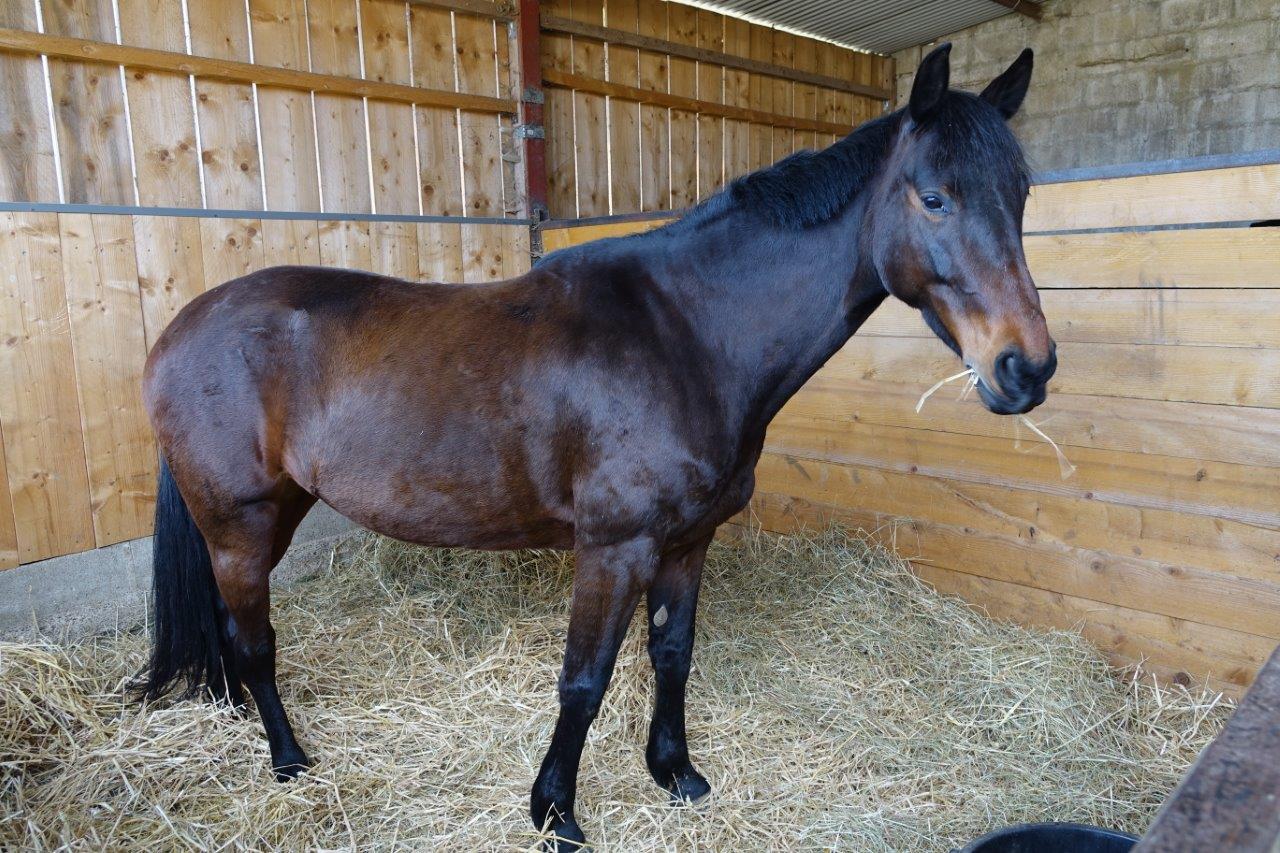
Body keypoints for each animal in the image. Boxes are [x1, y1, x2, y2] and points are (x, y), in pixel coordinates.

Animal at [135, 44, 1049, 845]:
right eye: (934, 197)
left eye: (1022, 193)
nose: (1027, 367)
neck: (687, 333)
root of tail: (181, 327)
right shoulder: (614, 547)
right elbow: (584, 679)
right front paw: (555, 813)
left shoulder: (686, 541)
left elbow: (672, 654)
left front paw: (676, 771)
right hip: (239, 524)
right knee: (254, 641)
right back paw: (289, 758)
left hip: (276, 512)